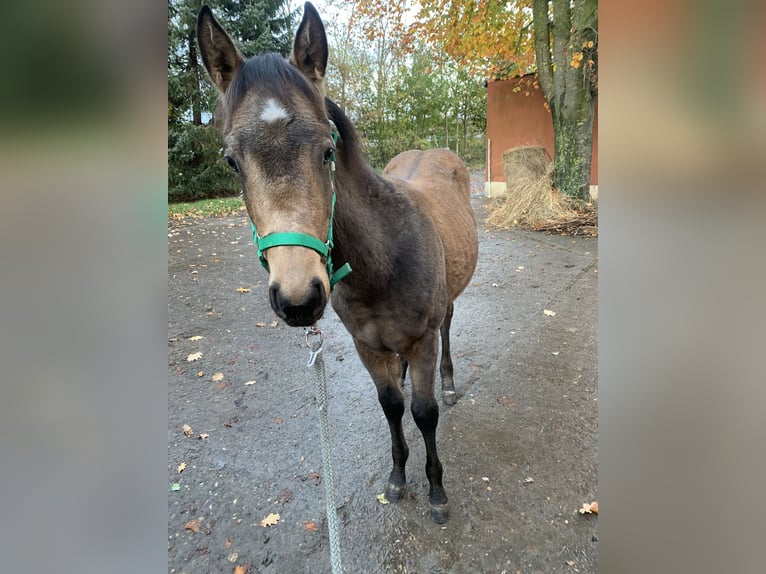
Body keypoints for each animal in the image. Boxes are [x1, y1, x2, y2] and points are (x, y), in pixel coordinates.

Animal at [196, 1, 480, 528]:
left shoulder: (421, 340)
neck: (382, 262)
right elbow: (391, 405)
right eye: (231, 161)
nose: (299, 299)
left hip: (445, 308)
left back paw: (450, 383)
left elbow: (424, 412)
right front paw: (397, 478)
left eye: (327, 150)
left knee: (449, 327)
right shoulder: (367, 344)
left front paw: (436, 491)